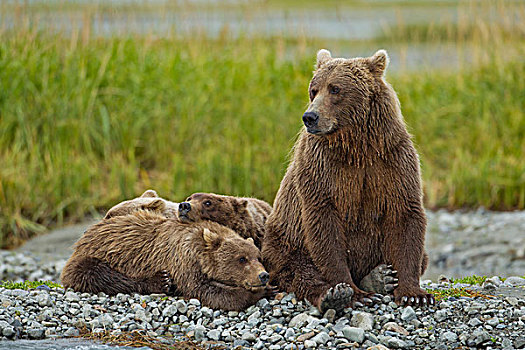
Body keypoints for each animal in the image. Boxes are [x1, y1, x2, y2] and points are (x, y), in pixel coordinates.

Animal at [60, 211, 270, 312]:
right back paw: (161, 281)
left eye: (258, 257)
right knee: (97, 274)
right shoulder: (184, 260)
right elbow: (203, 290)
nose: (263, 276)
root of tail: (88, 232)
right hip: (93, 256)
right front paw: (257, 292)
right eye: (241, 259)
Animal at [260, 47, 432, 314]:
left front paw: (414, 294)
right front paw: (351, 293)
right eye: (314, 89)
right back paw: (336, 294)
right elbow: (324, 225)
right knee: (299, 271)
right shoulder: (321, 168)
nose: (310, 117)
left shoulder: (393, 160)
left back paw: (380, 276)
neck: (357, 148)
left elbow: (405, 214)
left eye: (335, 89)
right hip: (285, 243)